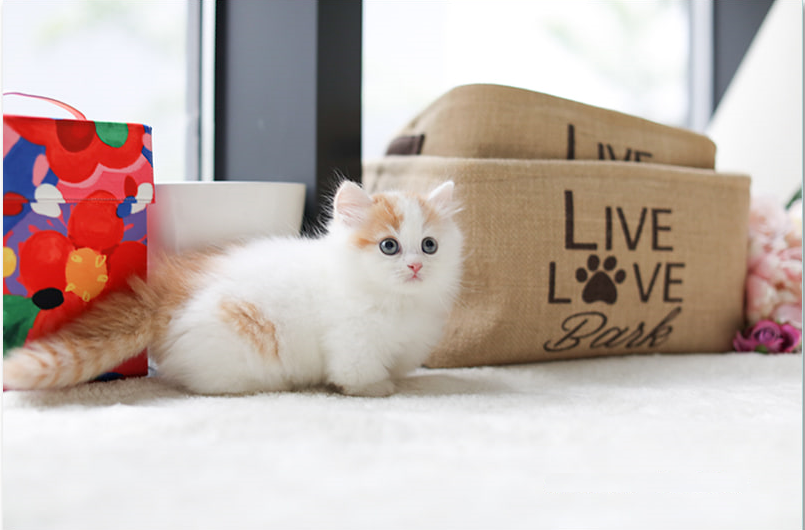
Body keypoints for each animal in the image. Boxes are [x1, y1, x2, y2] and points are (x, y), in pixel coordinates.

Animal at [3, 180, 463, 397]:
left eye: (429, 245)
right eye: (389, 246)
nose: (416, 266)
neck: (397, 302)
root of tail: (169, 291)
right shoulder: (352, 340)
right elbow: (357, 373)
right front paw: (377, 389)